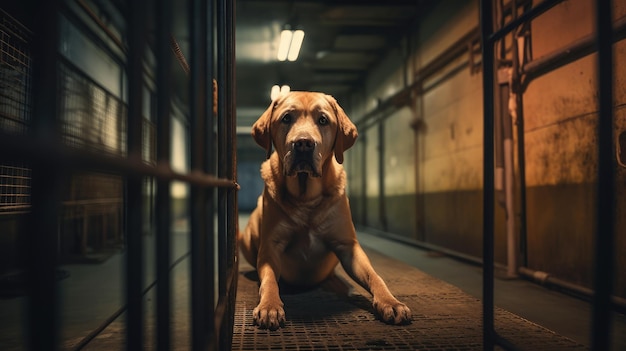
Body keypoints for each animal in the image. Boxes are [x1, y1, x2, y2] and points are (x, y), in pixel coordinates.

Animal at [238, 91, 410, 330]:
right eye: (286, 118)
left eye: (323, 120)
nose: (303, 144)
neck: (306, 198)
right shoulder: (271, 247)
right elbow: (270, 280)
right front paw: (270, 305)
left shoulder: (348, 247)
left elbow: (375, 276)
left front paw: (391, 302)